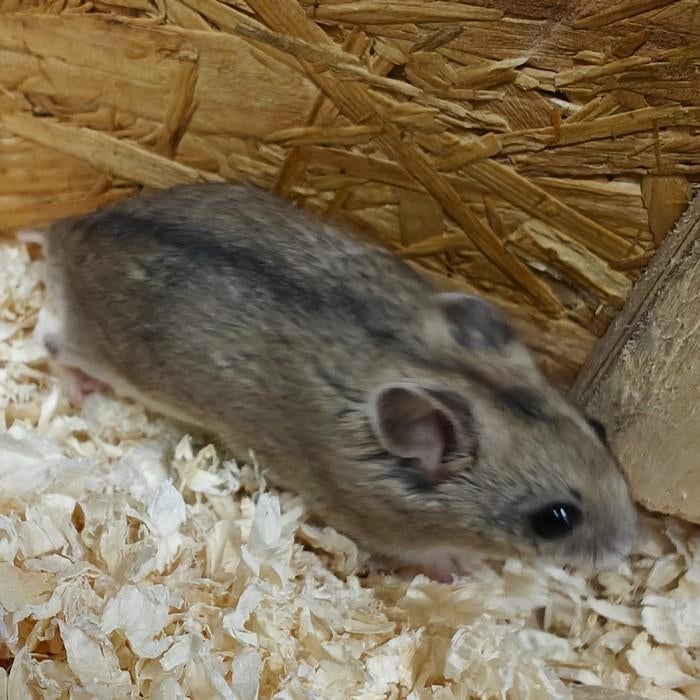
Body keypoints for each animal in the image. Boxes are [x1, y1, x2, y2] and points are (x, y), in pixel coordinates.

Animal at [36, 183, 637, 581]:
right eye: (556, 519)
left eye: (600, 428)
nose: (630, 548)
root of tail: (71, 227)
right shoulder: (377, 523)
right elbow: (428, 555)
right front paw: (464, 569)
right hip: (103, 353)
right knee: (56, 346)